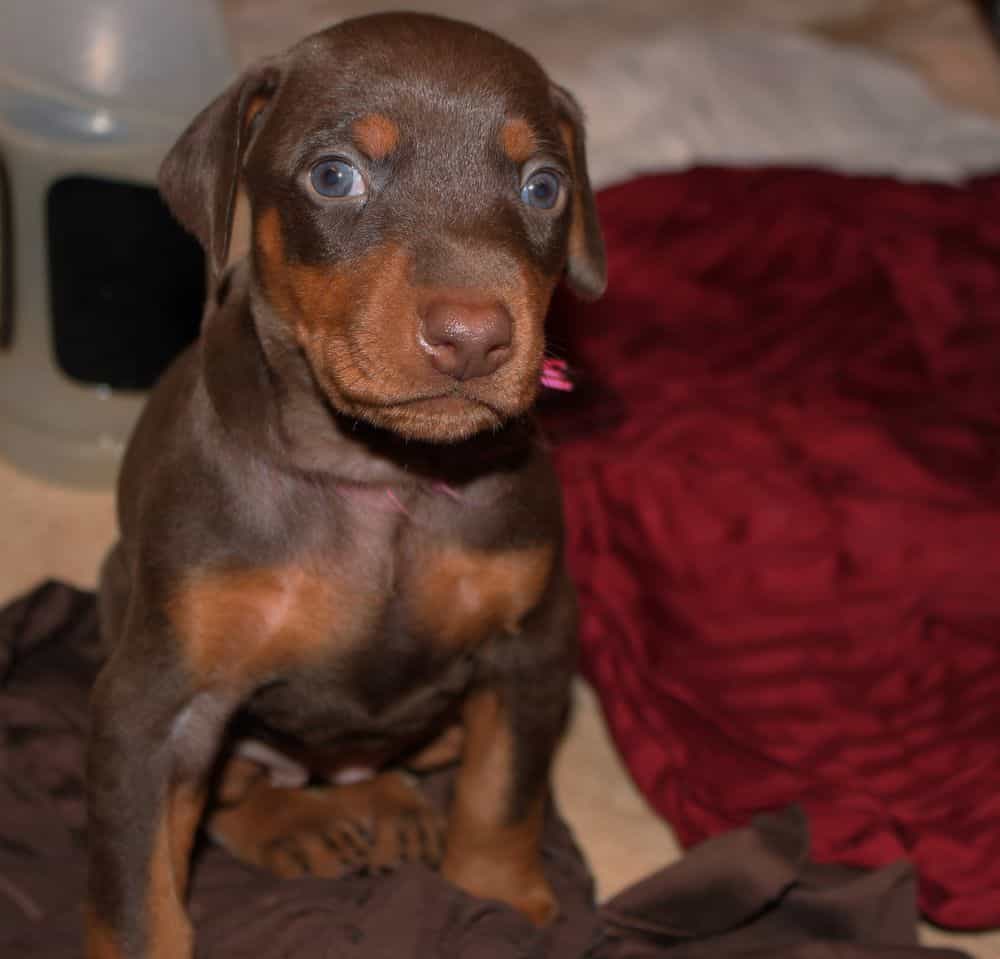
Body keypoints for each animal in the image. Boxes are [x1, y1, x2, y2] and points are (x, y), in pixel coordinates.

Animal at [88, 11, 600, 956]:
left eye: (544, 186)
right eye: (335, 175)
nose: (473, 337)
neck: (377, 470)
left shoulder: (534, 637)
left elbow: (504, 789)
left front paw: (499, 898)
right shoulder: (151, 701)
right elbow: (138, 891)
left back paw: (385, 804)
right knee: (234, 790)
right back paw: (301, 822)